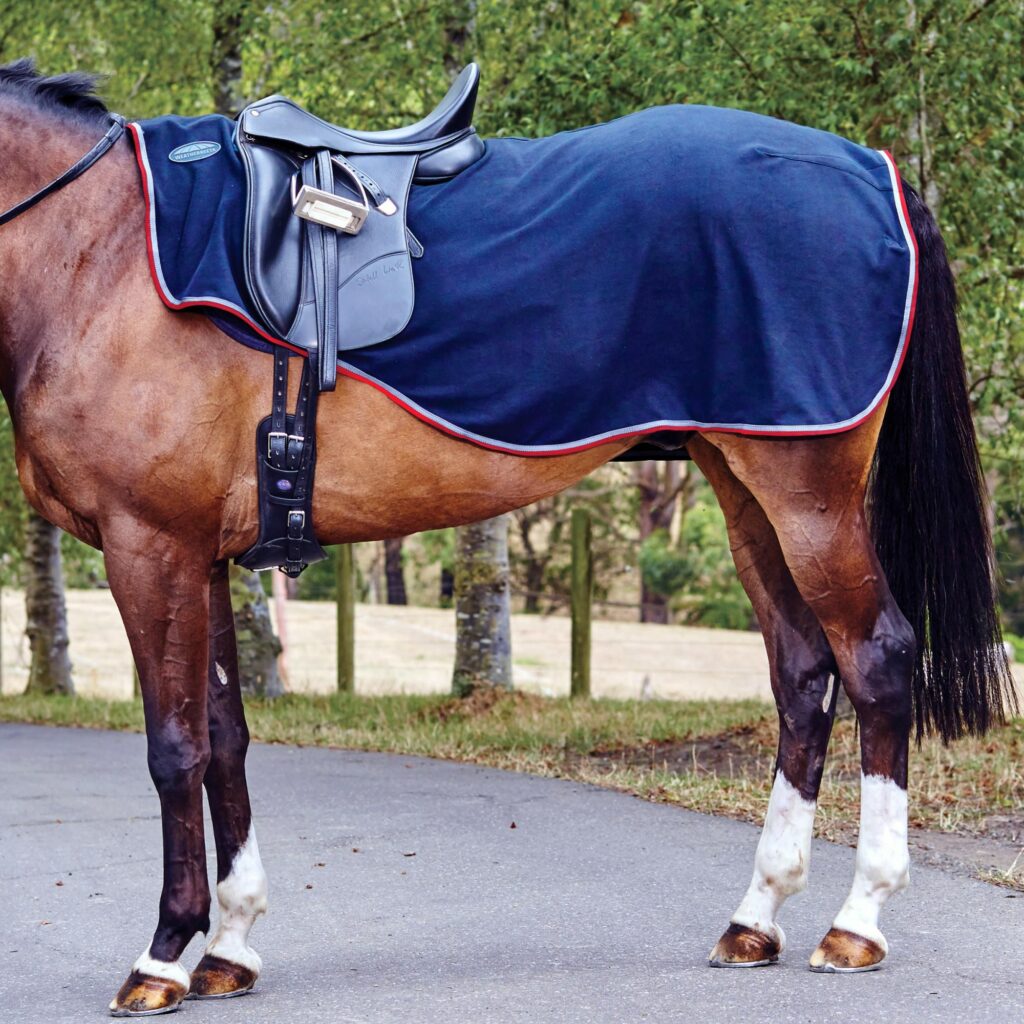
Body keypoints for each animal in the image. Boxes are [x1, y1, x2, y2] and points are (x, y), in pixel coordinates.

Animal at [0, 62, 1012, 1017]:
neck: (99, 251)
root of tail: (872, 168)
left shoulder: (150, 546)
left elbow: (173, 750)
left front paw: (163, 956)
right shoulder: (201, 552)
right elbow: (225, 738)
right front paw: (231, 946)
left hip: (809, 492)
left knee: (876, 659)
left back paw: (856, 922)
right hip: (743, 486)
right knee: (803, 674)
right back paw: (756, 918)